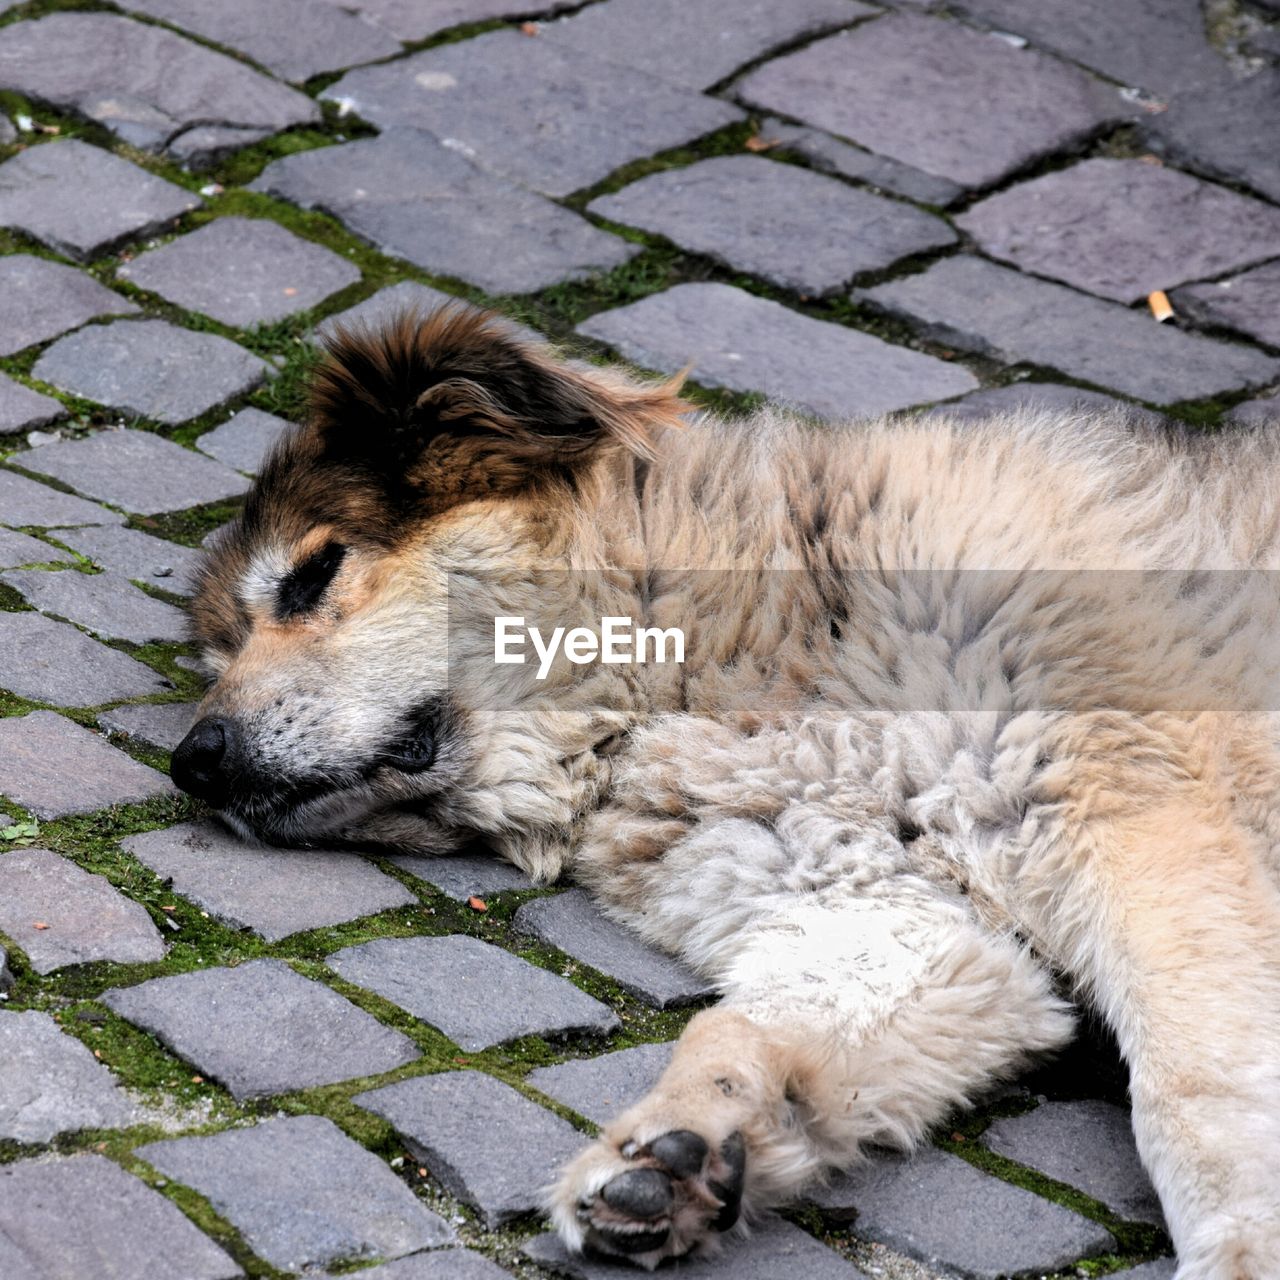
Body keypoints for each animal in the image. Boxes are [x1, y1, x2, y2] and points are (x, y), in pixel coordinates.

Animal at [172, 304, 1280, 1274]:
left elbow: (1196, 1094)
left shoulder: (1138, 820)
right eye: (218, 651)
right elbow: (744, 1026)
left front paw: (1240, 1252)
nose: (194, 760)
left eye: (312, 576)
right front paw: (680, 1148)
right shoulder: (898, 917)